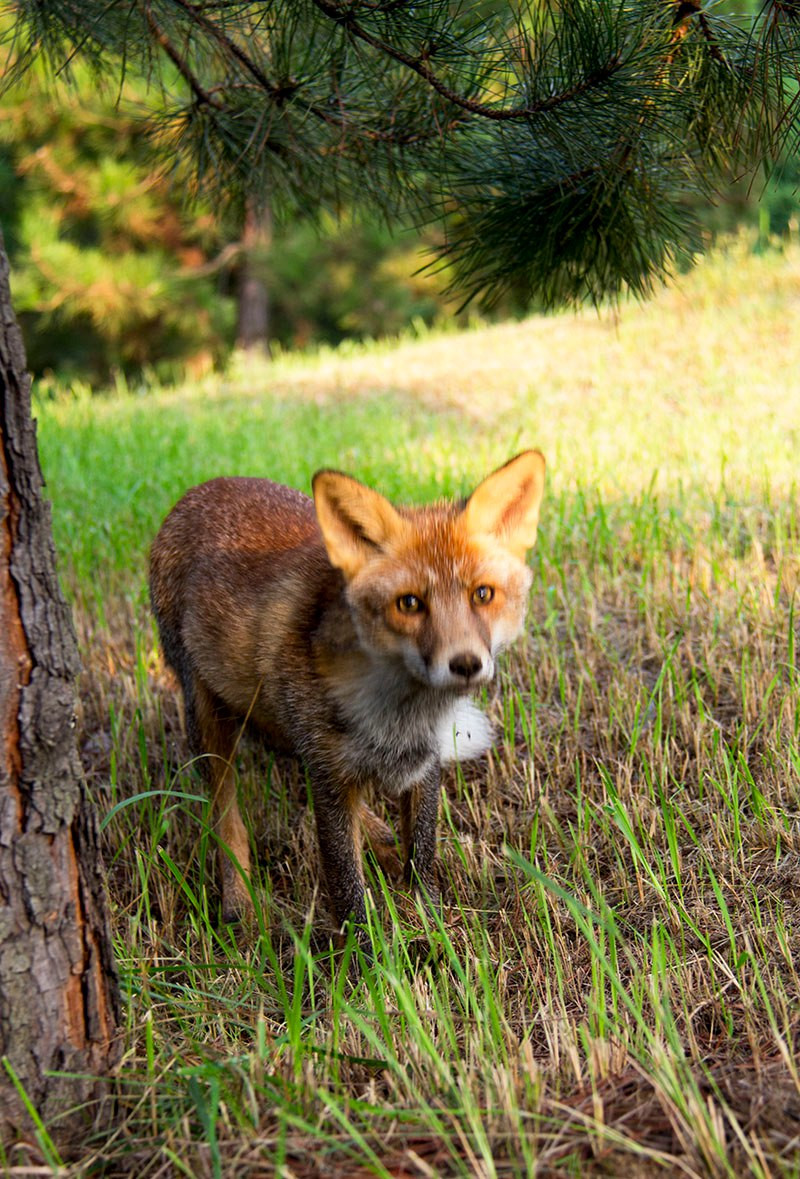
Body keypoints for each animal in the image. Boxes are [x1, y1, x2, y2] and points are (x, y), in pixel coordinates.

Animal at [147, 445, 546, 943]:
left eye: (483, 594)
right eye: (409, 603)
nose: (466, 664)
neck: (399, 715)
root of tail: (205, 486)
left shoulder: (425, 764)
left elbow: (422, 857)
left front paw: (432, 929)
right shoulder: (330, 774)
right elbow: (347, 886)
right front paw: (367, 958)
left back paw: (378, 837)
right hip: (205, 718)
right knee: (225, 813)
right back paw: (239, 899)